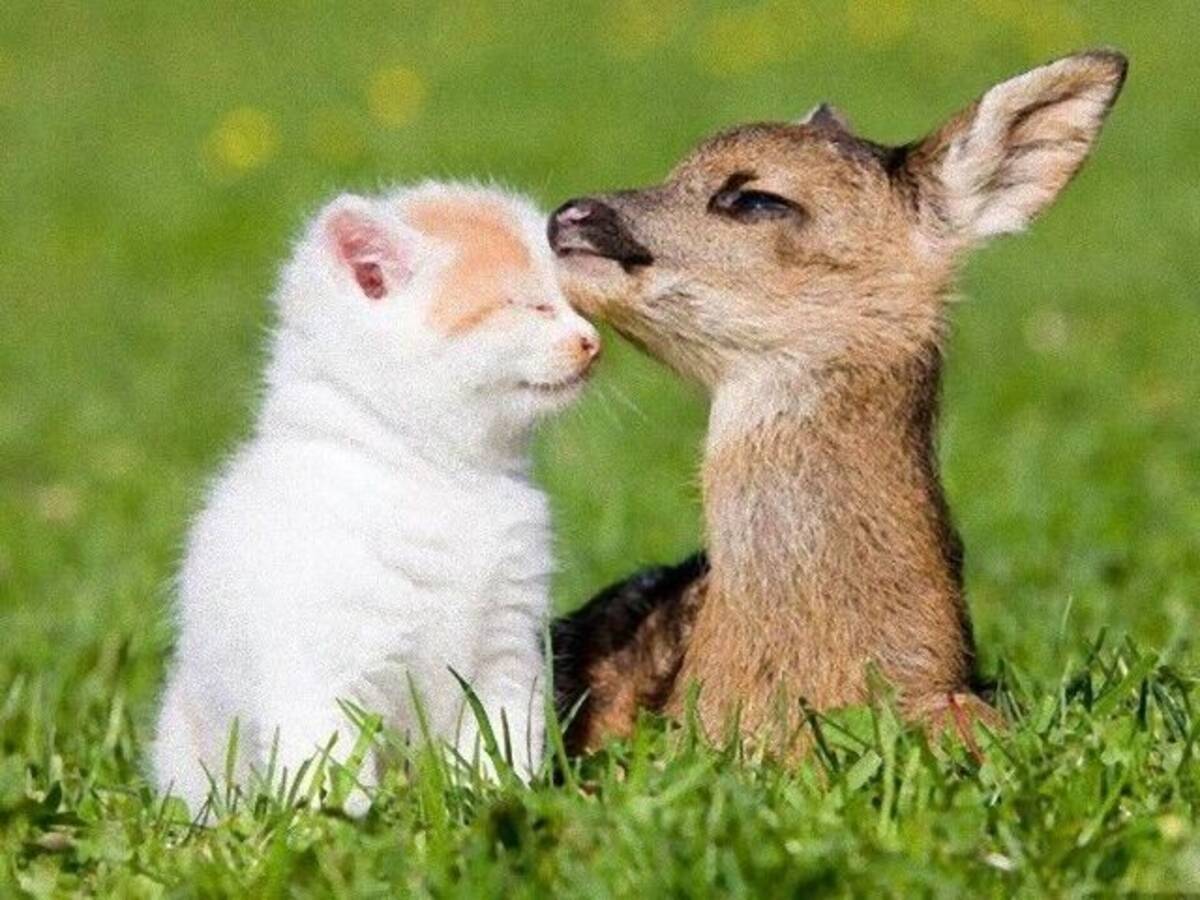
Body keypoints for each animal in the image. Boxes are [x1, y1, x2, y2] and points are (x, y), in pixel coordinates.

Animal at [150, 183, 600, 816]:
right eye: (529, 305)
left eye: (574, 302)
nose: (592, 341)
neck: (443, 479)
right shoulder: (323, 669)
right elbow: (329, 770)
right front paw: (342, 826)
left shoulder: (506, 652)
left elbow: (495, 742)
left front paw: (490, 802)